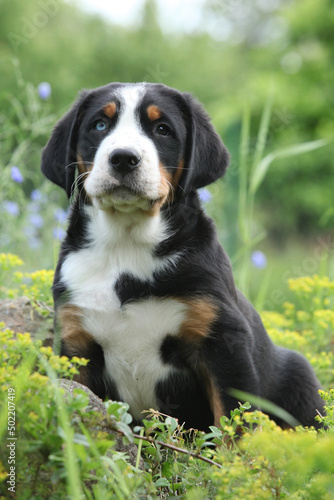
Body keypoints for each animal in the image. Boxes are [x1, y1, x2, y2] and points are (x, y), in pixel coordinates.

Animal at [41, 82, 324, 430]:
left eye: (162, 129)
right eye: (99, 125)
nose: (123, 158)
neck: (126, 246)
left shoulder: (223, 342)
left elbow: (232, 421)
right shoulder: (75, 340)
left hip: (300, 377)